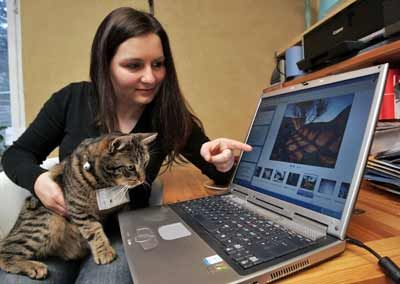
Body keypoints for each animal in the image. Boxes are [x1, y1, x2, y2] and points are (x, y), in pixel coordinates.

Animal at [0, 132, 156, 278]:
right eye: (130, 167)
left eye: (146, 163)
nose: (143, 179)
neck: (104, 183)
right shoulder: (79, 209)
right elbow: (94, 230)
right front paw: (104, 252)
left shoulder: (122, 207)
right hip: (47, 222)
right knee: (5, 252)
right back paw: (34, 266)